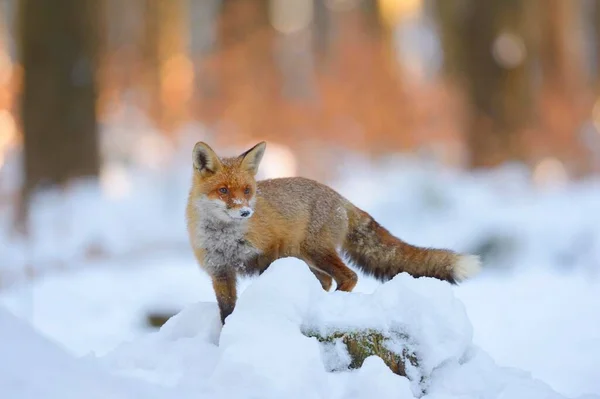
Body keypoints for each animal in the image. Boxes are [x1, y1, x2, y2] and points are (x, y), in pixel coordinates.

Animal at [185, 141, 480, 324]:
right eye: (223, 190)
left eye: (247, 191)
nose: (246, 212)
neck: (226, 238)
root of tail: (340, 198)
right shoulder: (220, 272)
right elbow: (226, 312)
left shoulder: (270, 255)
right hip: (307, 257)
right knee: (327, 281)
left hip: (315, 252)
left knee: (349, 277)